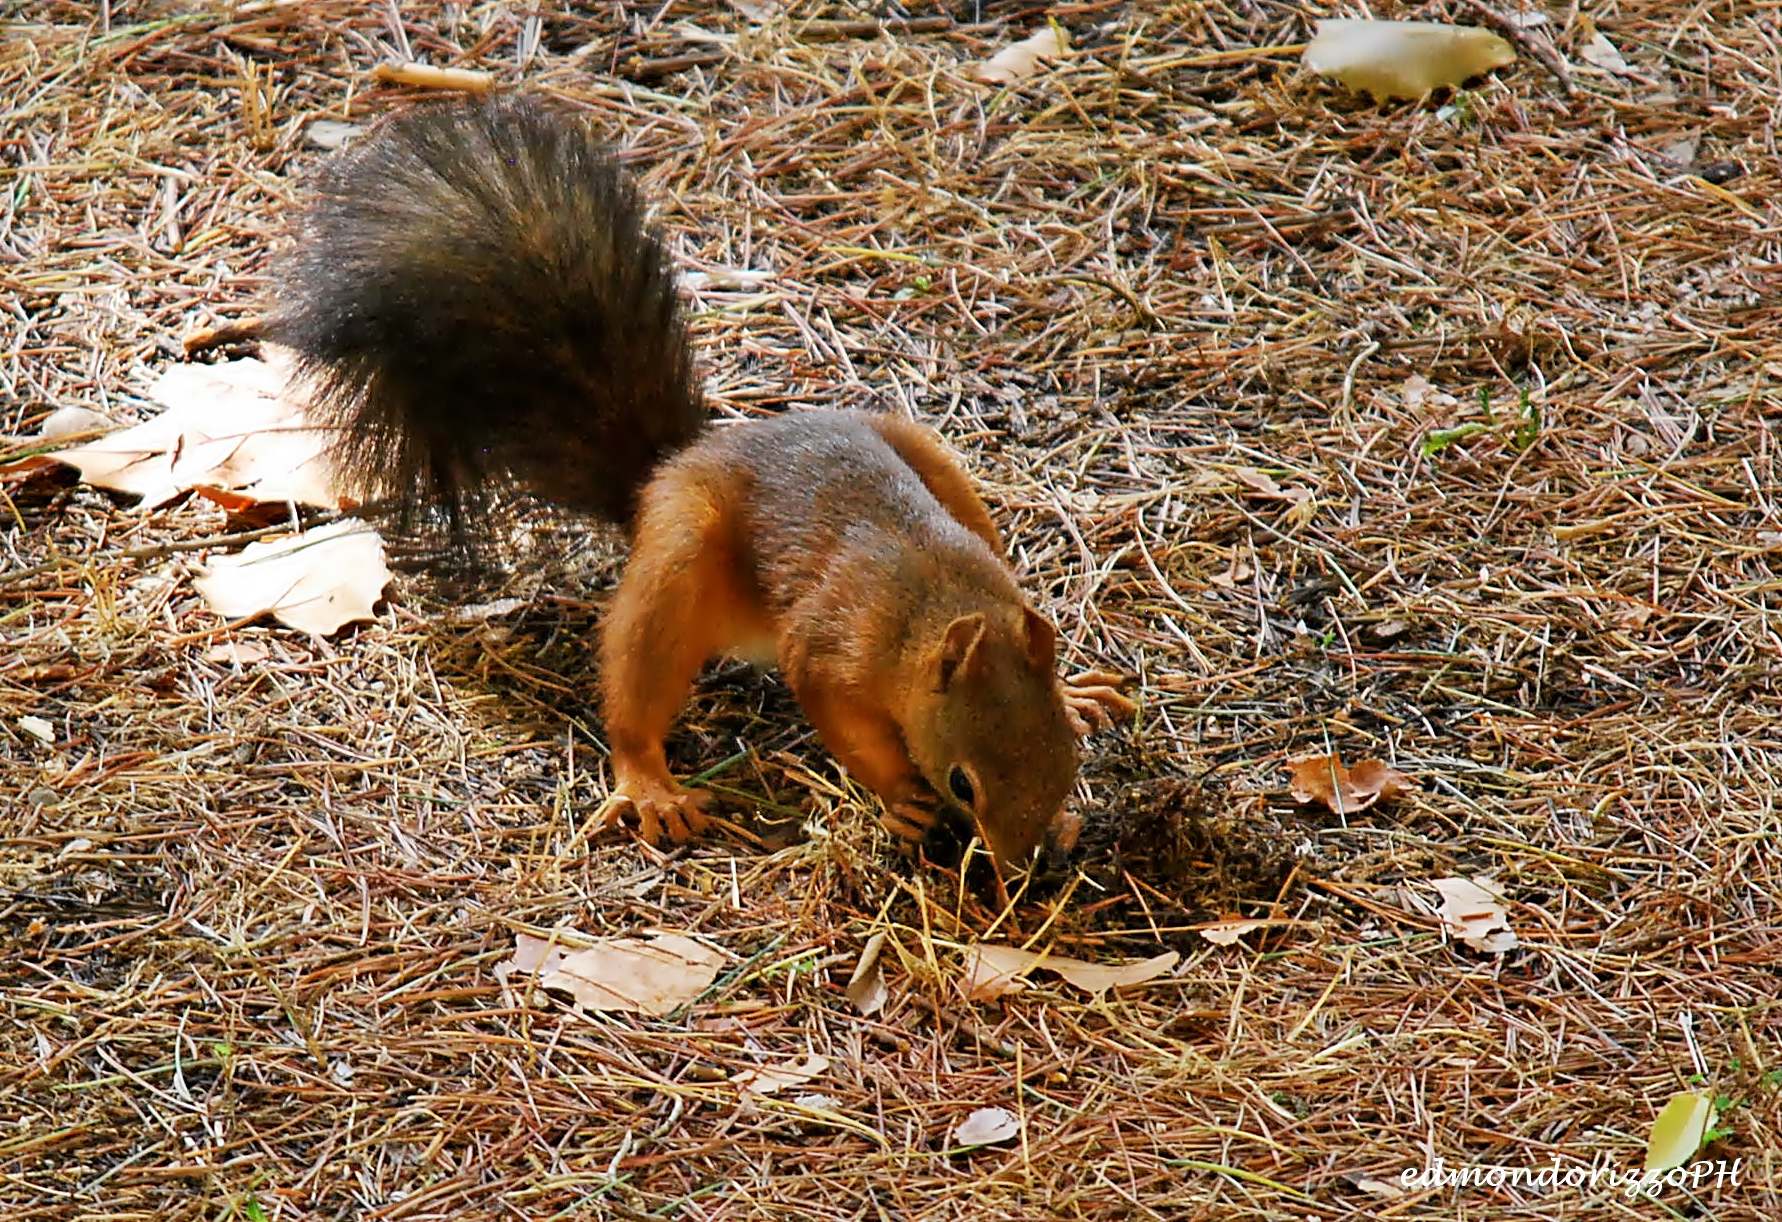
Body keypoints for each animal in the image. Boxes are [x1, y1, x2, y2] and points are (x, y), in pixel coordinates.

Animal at [263, 96, 1134, 873]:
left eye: (1064, 759)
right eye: (962, 781)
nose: (1025, 865)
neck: (933, 604)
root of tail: (673, 465)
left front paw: (1070, 711)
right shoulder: (828, 650)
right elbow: (843, 722)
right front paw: (899, 795)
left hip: (925, 453)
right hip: (681, 559)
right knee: (636, 686)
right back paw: (649, 784)